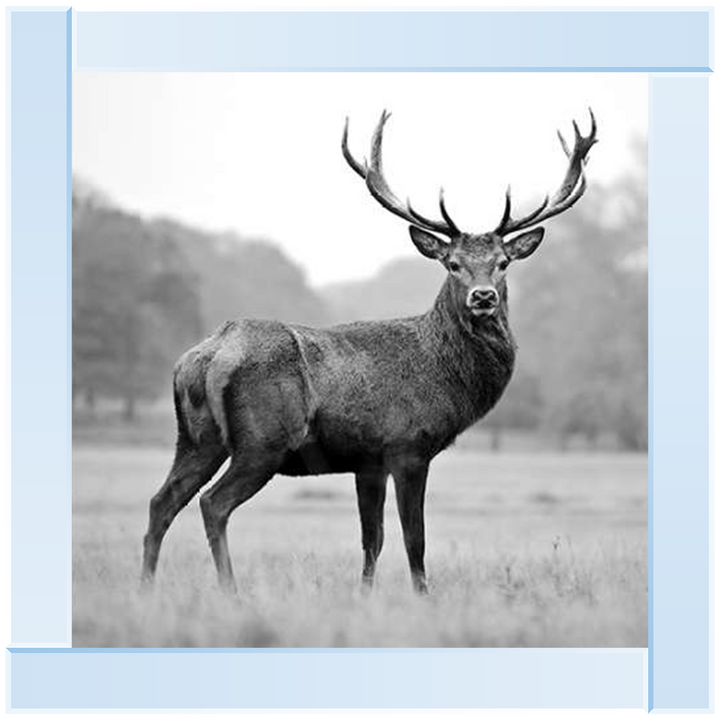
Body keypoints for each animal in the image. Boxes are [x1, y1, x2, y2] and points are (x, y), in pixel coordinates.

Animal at [141, 110, 597, 595]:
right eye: (452, 263)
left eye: (503, 263)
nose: (483, 297)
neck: (444, 376)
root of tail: (206, 356)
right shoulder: (408, 446)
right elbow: (414, 538)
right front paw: (423, 596)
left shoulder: (368, 461)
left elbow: (371, 539)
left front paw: (365, 595)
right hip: (263, 440)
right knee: (213, 503)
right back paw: (231, 591)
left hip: (196, 437)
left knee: (161, 501)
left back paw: (146, 587)